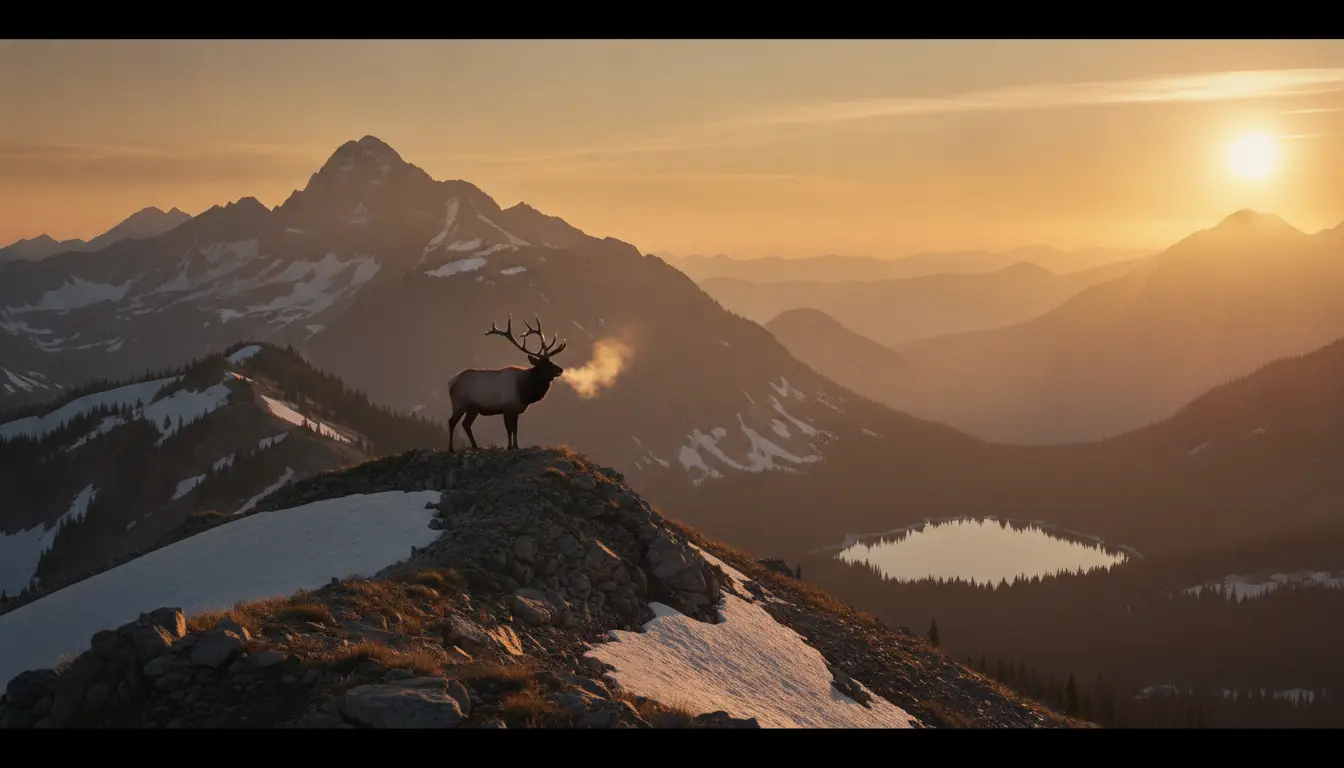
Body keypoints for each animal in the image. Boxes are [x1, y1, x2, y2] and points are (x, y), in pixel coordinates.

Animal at [446, 315, 568, 452]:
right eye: (546, 364)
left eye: (551, 361)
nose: (561, 370)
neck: (524, 392)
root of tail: (451, 381)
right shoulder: (507, 408)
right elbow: (509, 430)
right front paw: (509, 446)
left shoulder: (517, 410)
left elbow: (515, 430)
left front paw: (516, 446)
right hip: (459, 403)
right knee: (452, 421)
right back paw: (451, 448)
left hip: (473, 408)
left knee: (465, 424)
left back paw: (475, 446)